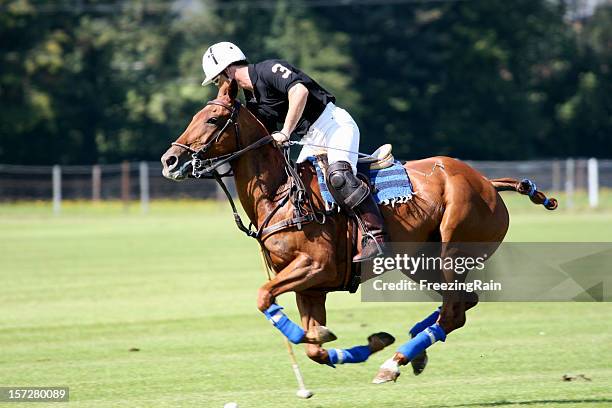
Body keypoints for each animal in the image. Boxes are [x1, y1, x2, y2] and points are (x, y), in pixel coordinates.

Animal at [160, 82, 556, 382]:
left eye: (212, 118)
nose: (170, 160)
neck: (280, 192)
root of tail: (488, 183)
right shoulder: (310, 286)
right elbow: (314, 349)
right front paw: (363, 340)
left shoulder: (315, 266)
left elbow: (263, 298)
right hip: (420, 261)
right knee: (462, 302)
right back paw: (412, 347)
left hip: (452, 249)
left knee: (454, 310)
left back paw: (394, 363)